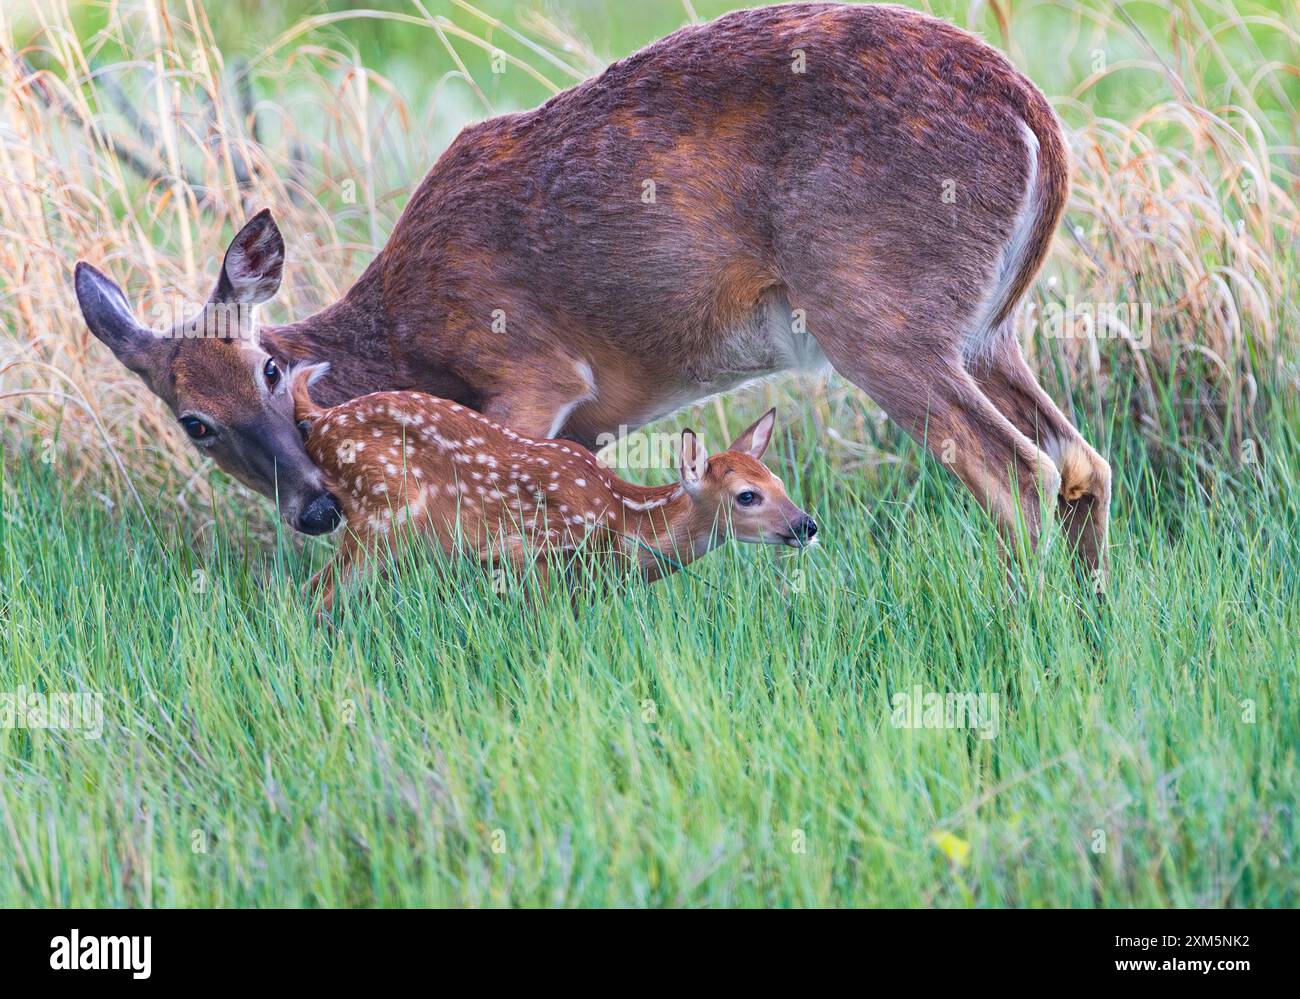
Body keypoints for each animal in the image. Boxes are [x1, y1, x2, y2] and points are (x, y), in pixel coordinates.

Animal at [73, 1, 1107, 569]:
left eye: (270, 373)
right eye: (192, 423)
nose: (312, 507)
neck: (404, 333)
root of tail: (1039, 123)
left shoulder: (530, 369)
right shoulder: (595, 418)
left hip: (876, 308)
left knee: (1017, 465)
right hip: (988, 325)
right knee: (1081, 460)